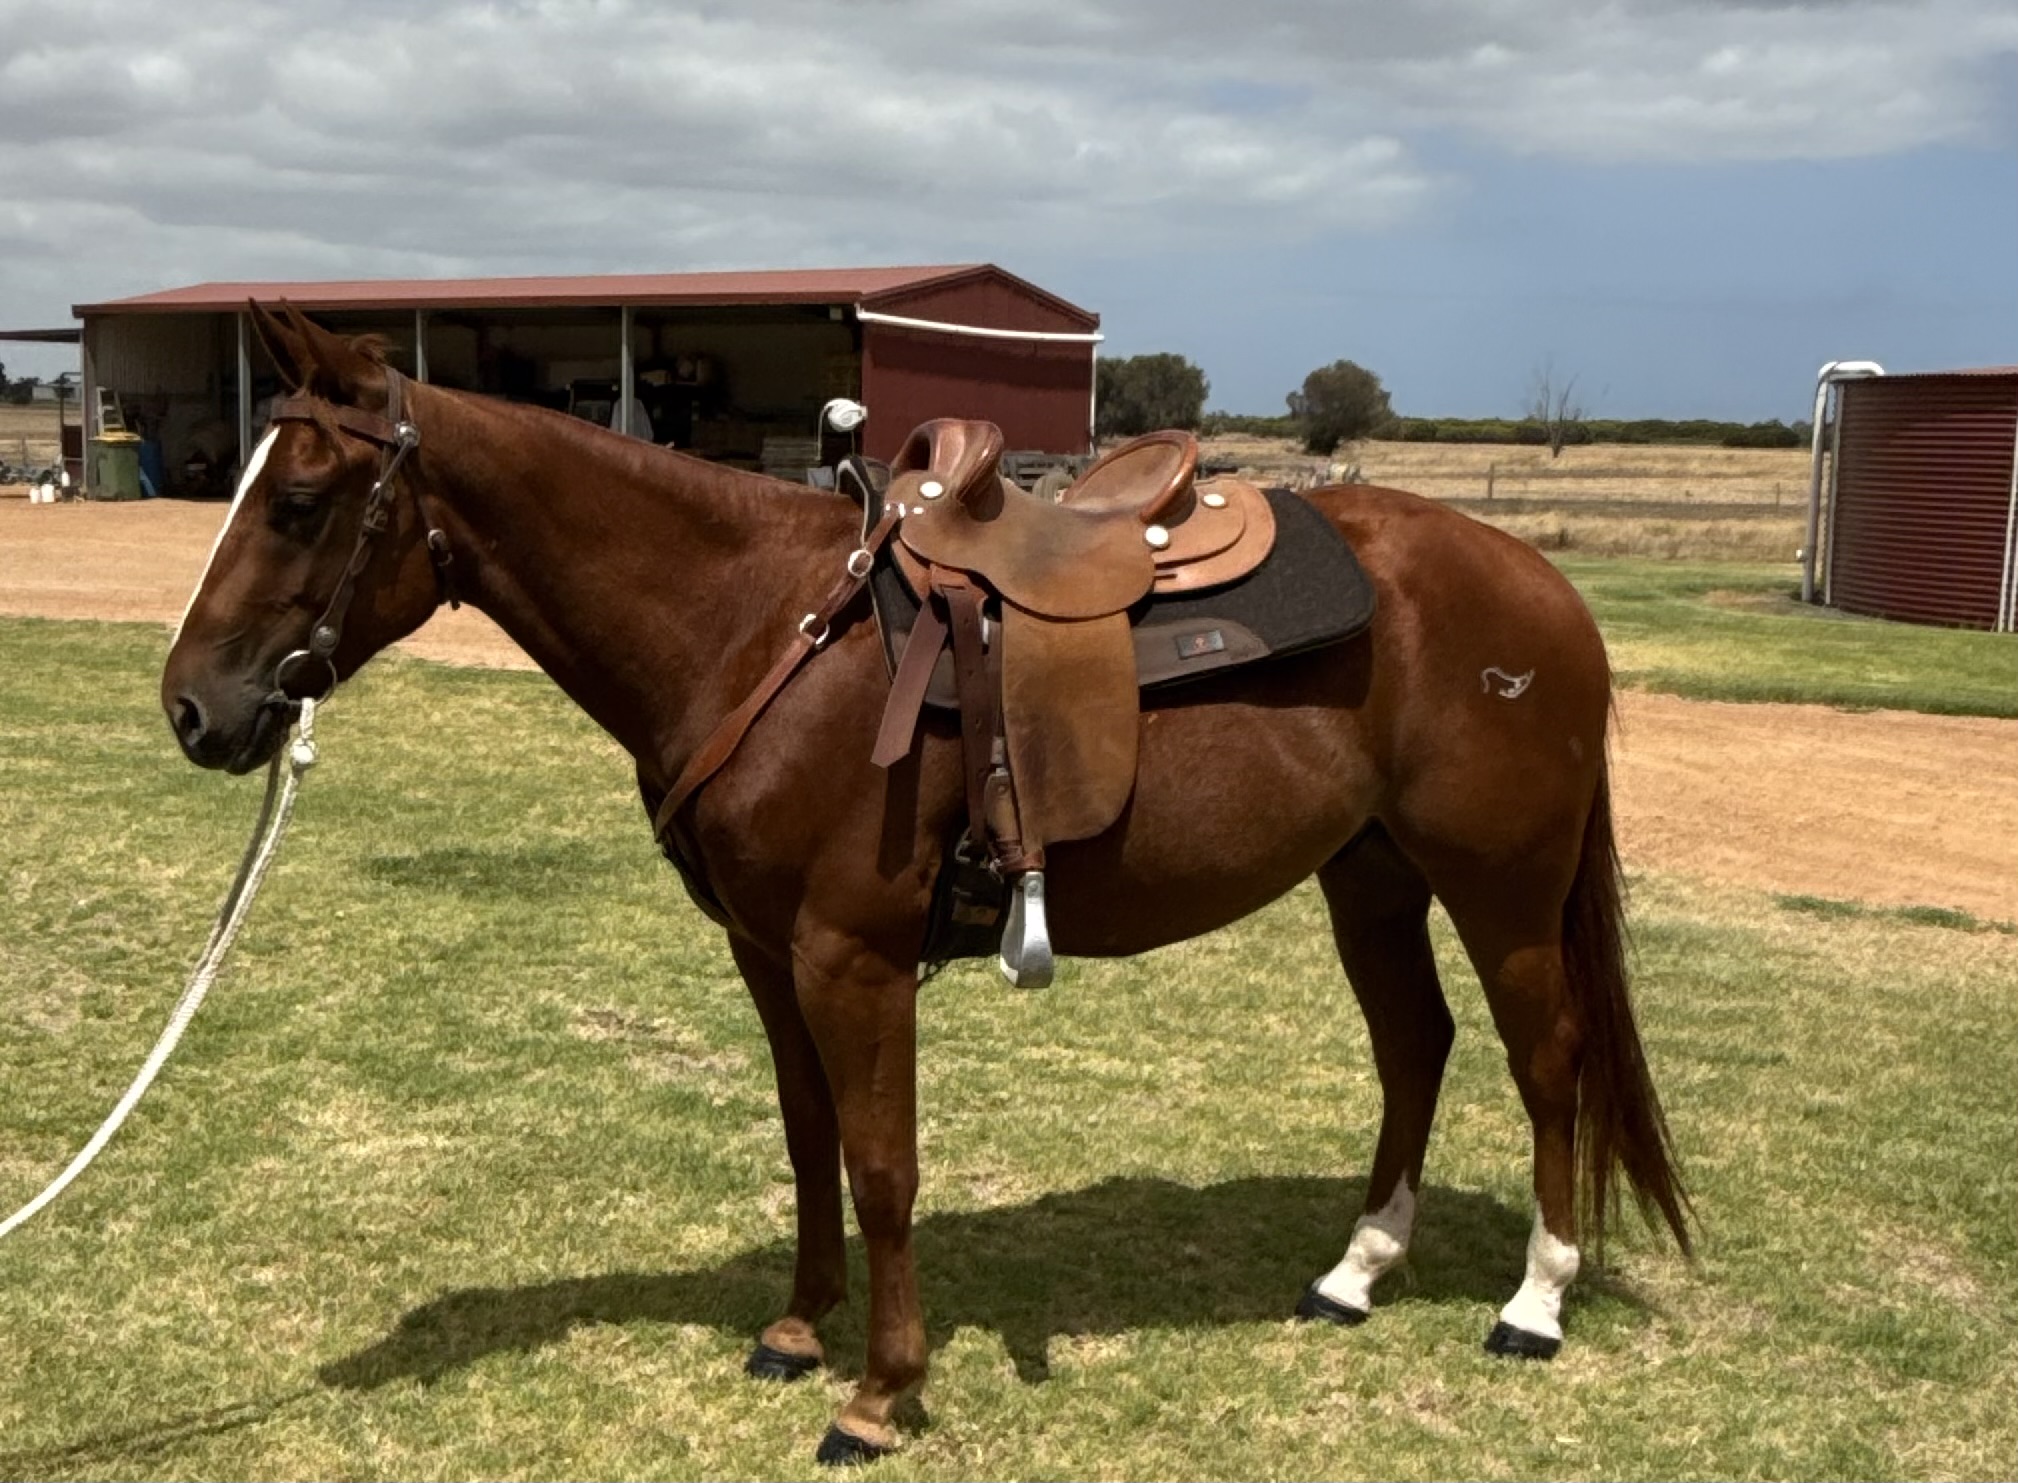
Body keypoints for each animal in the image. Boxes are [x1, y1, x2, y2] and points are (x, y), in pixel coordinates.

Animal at [162, 305, 1690, 1465]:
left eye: (298, 500)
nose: (191, 710)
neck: (759, 628)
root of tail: (1541, 589)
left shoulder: (854, 956)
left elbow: (883, 1163)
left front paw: (878, 1393)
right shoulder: (767, 953)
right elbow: (808, 1143)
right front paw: (794, 1329)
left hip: (1498, 884)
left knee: (1545, 1057)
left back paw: (1533, 1300)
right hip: (1368, 876)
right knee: (1412, 1045)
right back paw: (1352, 1274)